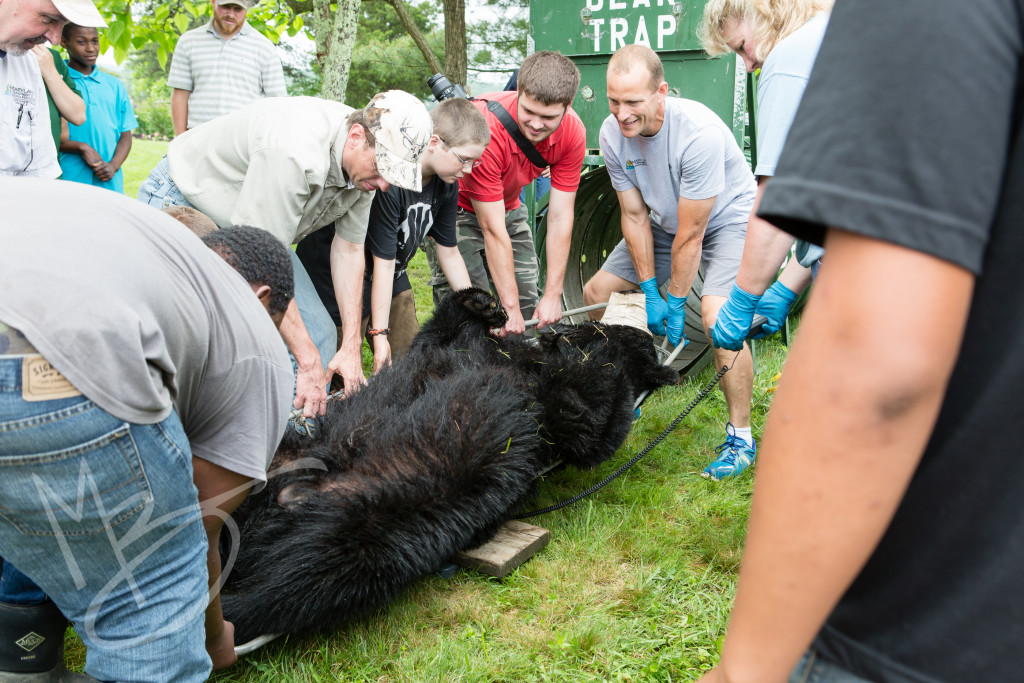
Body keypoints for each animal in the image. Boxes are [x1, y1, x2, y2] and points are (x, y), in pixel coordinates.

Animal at [222, 288, 679, 643]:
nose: (562, 329)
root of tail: (288, 499)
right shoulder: (449, 350)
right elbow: (434, 337)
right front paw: (483, 304)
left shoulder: (566, 416)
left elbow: (591, 417)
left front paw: (613, 359)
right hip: (285, 456)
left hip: (366, 537)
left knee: (292, 586)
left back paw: (230, 611)